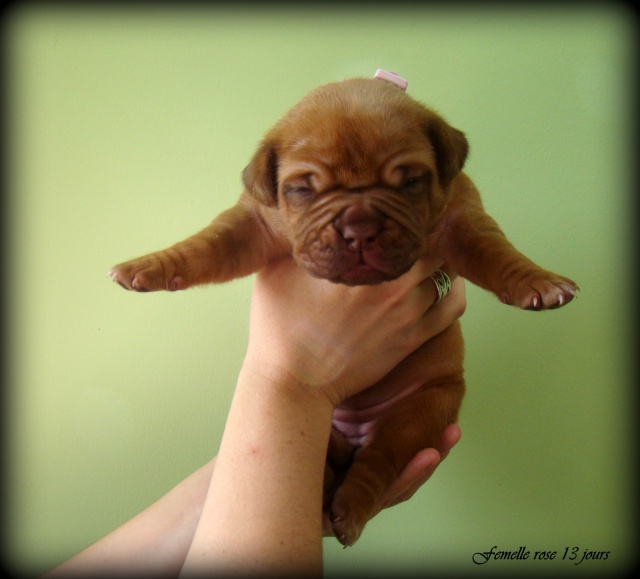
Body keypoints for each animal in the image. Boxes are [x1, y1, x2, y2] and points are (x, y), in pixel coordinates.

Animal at [110, 75, 580, 548]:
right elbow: (206, 245)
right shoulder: (251, 222)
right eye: (303, 189)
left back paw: (349, 507)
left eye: (411, 181)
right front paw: (148, 266)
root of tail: (355, 437)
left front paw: (539, 281)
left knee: (381, 457)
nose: (359, 228)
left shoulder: (463, 216)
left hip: (425, 408)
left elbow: (495, 251)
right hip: (335, 434)